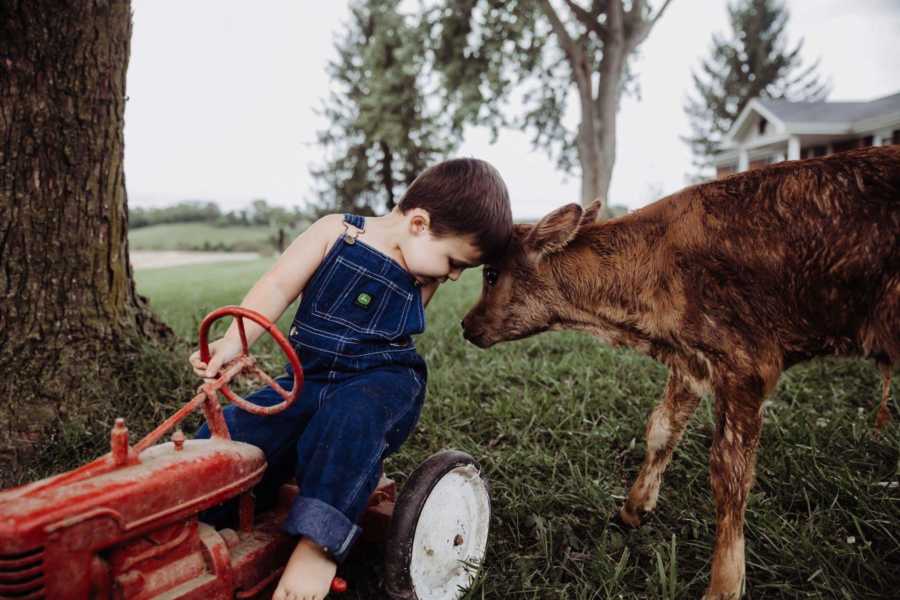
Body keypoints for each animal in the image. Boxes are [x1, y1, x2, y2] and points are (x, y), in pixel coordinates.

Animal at [460, 145, 896, 600]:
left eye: (491, 274)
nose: (466, 325)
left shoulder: (745, 368)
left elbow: (729, 475)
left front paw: (724, 584)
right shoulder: (692, 363)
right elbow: (661, 430)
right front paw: (633, 508)